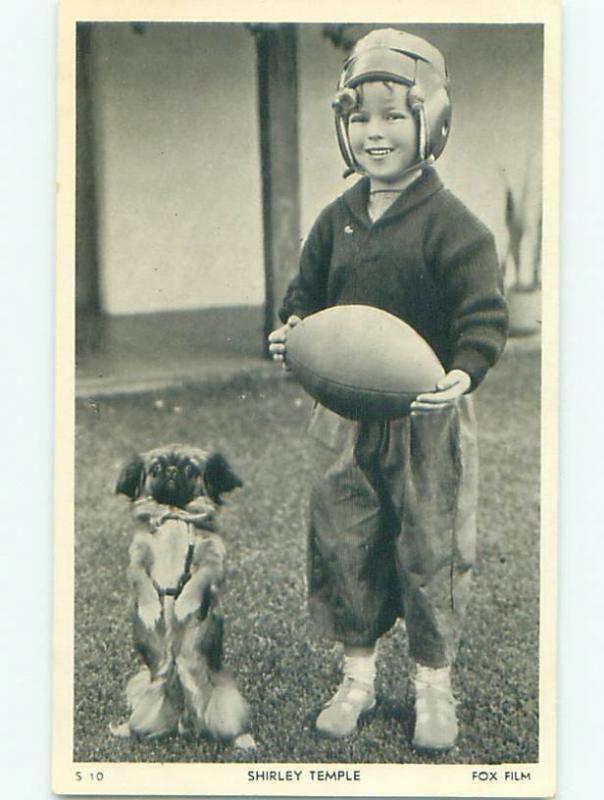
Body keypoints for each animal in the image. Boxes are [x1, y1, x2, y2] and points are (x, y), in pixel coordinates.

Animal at [111, 444, 255, 752]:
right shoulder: (137, 559)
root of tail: (185, 719)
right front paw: (151, 609)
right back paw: (126, 729)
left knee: (227, 727)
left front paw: (185, 604)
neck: (174, 515)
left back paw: (242, 739)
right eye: (155, 469)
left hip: (225, 705)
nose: (172, 470)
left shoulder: (212, 561)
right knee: (143, 724)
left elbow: (198, 581)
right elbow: (141, 580)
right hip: (149, 698)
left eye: (190, 469)